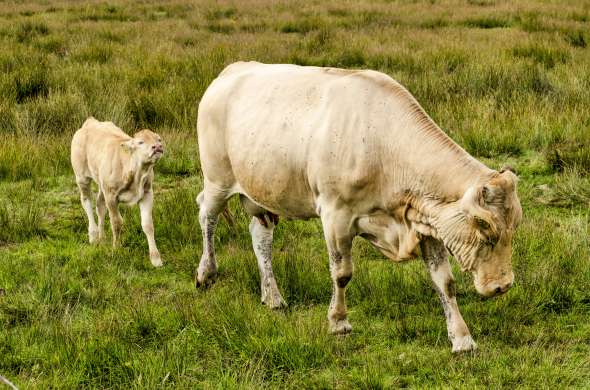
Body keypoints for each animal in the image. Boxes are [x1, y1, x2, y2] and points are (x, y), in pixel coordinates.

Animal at [71, 117, 165, 266]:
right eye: (140, 142)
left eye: (159, 139)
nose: (157, 147)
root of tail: (90, 121)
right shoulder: (111, 196)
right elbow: (116, 222)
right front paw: (116, 249)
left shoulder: (147, 193)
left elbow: (148, 224)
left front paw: (155, 258)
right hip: (81, 177)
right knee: (86, 202)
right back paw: (93, 235)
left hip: (102, 184)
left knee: (100, 206)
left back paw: (102, 238)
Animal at [197, 61, 524, 354]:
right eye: (485, 228)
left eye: (514, 227)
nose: (502, 285)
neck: (385, 148)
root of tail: (231, 71)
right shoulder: (335, 217)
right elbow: (342, 273)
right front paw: (338, 322)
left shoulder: (426, 222)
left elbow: (445, 282)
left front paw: (461, 339)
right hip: (217, 180)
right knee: (206, 216)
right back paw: (205, 273)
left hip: (259, 195)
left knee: (260, 238)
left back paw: (273, 296)